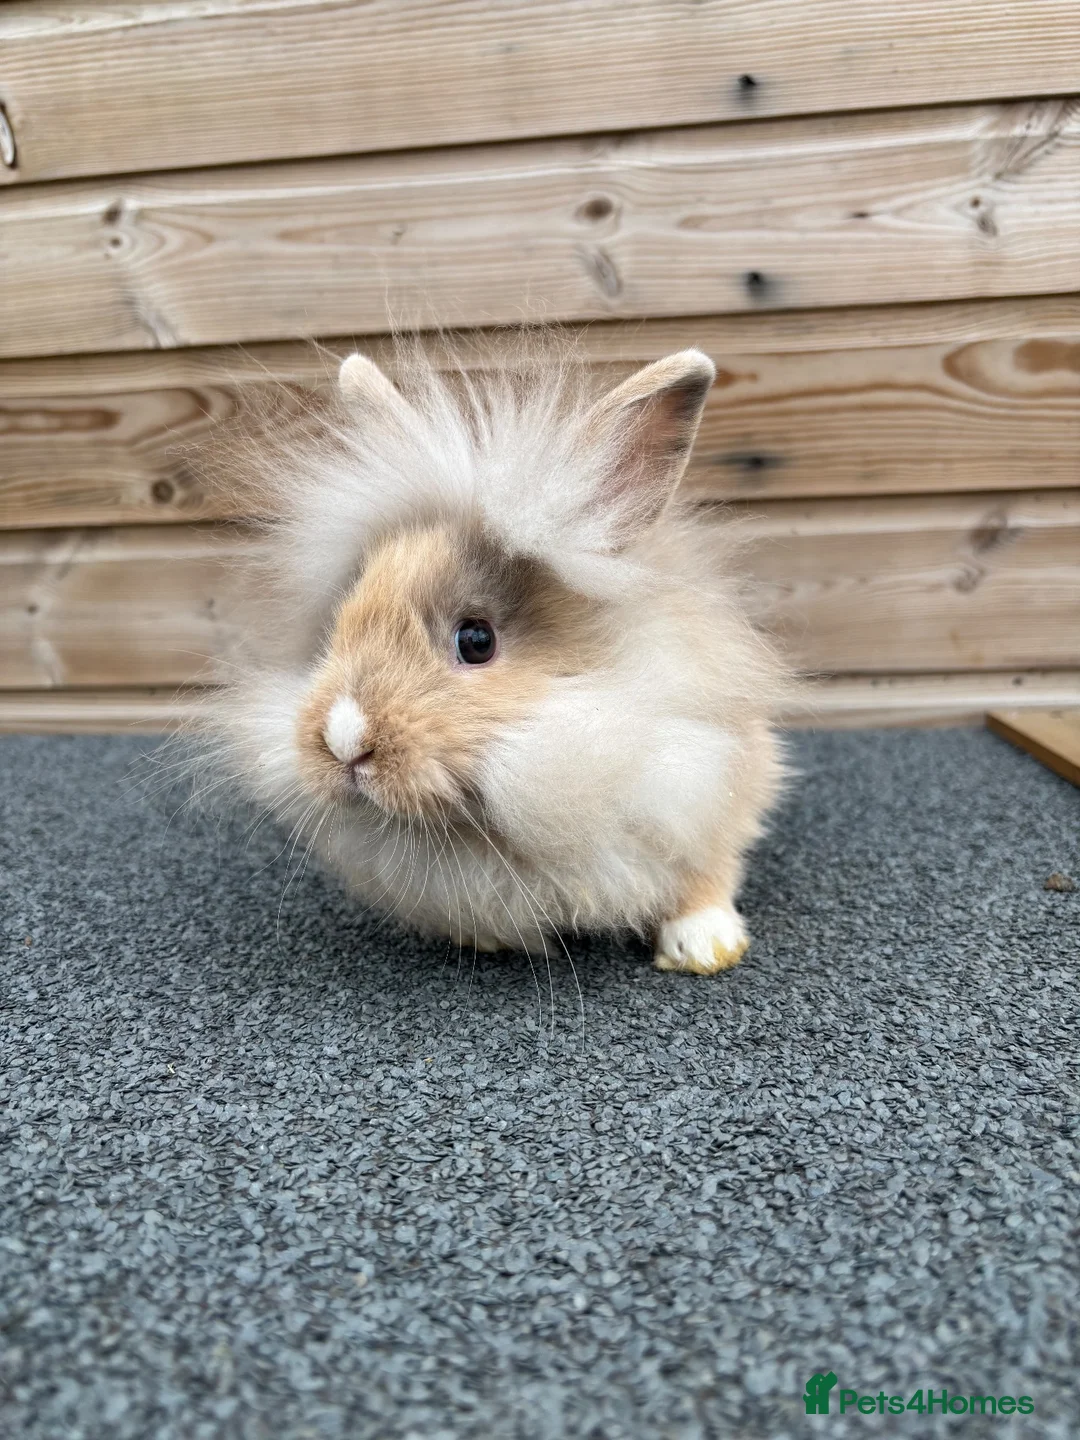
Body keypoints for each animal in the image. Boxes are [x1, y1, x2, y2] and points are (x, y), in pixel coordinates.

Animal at [201, 335, 795, 974]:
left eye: (476, 641)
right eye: (341, 623)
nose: (342, 738)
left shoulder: (709, 783)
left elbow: (705, 875)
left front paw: (703, 947)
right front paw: (483, 940)